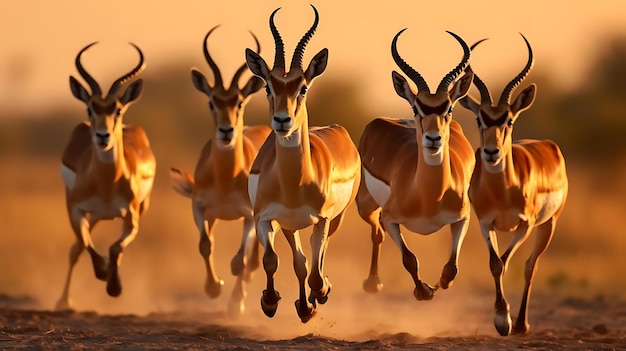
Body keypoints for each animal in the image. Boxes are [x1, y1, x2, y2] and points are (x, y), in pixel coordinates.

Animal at [56, 42, 155, 310]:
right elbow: (86, 245)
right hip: (93, 215)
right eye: (89, 108)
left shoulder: (132, 217)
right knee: (76, 248)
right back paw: (63, 302)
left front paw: (114, 286)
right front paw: (103, 273)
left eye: (117, 110)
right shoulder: (75, 209)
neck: (106, 185)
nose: (103, 136)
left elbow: (115, 248)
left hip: (132, 209)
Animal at [168, 26, 268, 320]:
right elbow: (205, 245)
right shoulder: (200, 209)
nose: (226, 131)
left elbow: (239, 260)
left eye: (240, 102)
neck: (224, 181)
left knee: (252, 257)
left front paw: (235, 302)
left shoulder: (248, 215)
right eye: (212, 102)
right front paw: (213, 288)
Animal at [245, 5, 360, 324]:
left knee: (317, 260)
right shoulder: (264, 218)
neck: (293, 186)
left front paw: (319, 295)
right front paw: (271, 302)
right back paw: (304, 306)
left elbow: (316, 274)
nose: (282, 120)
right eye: (268, 87)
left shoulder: (321, 220)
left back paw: (316, 298)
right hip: (289, 226)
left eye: (303, 88)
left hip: (336, 219)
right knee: (301, 261)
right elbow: (273, 260)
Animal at [356, 28, 472, 302]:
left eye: (449, 108)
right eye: (417, 108)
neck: (427, 197)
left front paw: (435, 285)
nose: (433, 138)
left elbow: (451, 269)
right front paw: (423, 291)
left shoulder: (462, 217)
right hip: (365, 206)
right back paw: (373, 283)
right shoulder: (390, 218)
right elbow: (409, 258)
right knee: (376, 232)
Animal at [456, 34, 568, 336]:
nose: (491, 152)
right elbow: (495, 264)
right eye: (479, 118)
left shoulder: (525, 224)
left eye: (509, 119)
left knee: (531, 266)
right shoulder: (485, 224)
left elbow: (507, 263)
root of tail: (548, 145)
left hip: (549, 224)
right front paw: (499, 319)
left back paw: (521, 324)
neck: (501, 194)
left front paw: (506, 321)